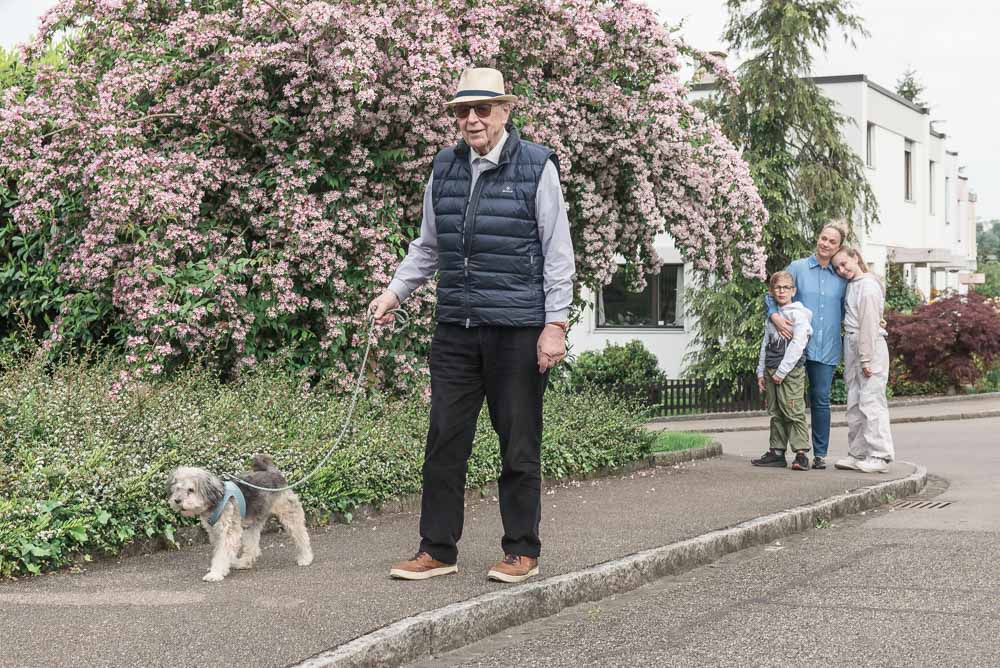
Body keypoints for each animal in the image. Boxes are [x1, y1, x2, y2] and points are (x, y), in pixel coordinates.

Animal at [167, 454, 312, 580]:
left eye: (191, 490)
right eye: (177, 488)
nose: (177, 501)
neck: (216, 499)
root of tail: (274, 472)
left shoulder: (228, 531)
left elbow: (222, 554)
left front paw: (215, 573)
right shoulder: (215, 533)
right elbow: (219, 551)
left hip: (290, 515)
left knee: (302, 536)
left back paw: (306, 557)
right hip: (252, 524)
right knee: (252, 546)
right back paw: (244, 563)